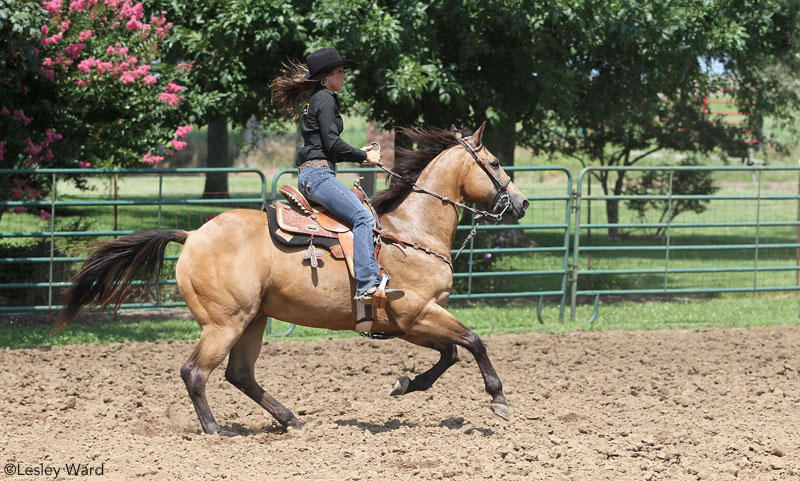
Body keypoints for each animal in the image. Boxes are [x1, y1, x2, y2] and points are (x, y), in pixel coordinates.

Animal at [56, 121, 532, 436]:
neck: (411, 231)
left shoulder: (407, 323)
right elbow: (473, 342)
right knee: (195, 372)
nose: (522, 202)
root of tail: (192, 235)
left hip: (254, 320)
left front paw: (403, 385)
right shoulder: (418, 312)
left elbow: (449, 354)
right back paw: (215, 431)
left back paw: (291, 420)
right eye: (494, 162)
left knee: (240, 375)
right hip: (224, 323)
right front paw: (499, 401)